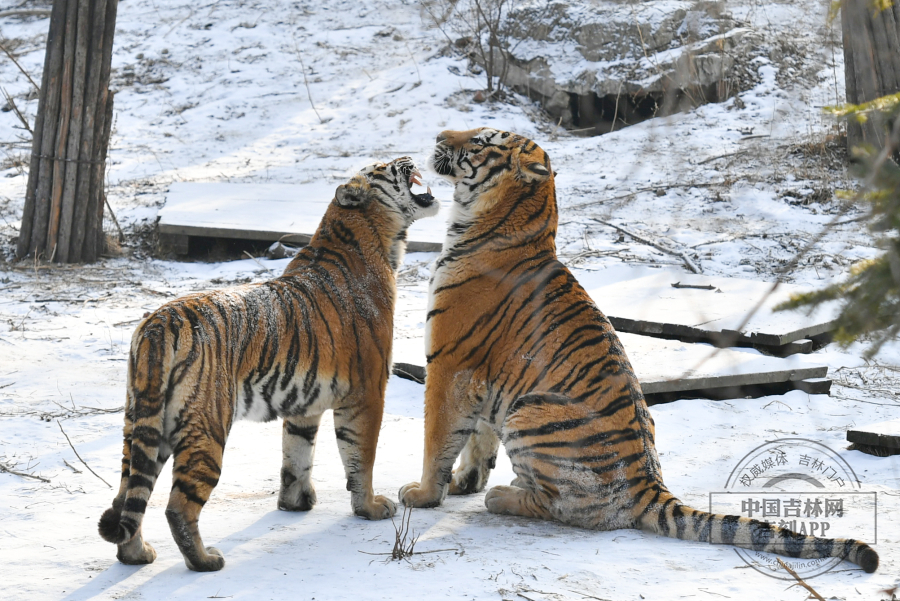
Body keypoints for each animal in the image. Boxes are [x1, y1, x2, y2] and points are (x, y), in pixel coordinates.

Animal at [98, 157, 440, 568]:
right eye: (384, 165)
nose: (409, 158)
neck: (373, 238)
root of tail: (159, 322)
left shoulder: (306, 401)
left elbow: (297, 455)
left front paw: (295, 503)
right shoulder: (367, 392)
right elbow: (361, 457)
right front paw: (370, 508)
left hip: (143, 422)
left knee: (127, 495)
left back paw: (136, 554)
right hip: (206, 426)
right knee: (178, 506)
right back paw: (205, 561)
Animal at [400, 127, 880, 572]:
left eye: (481, 141)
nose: (439, 134)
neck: (485, 223)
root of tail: (651, 487)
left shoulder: (448, 365)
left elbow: (437, 437)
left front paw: (423, 494)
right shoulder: (484, 377)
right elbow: (475, 439)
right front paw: (464, 482)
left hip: (527, 410)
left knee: (566, 508)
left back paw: (504, 496)